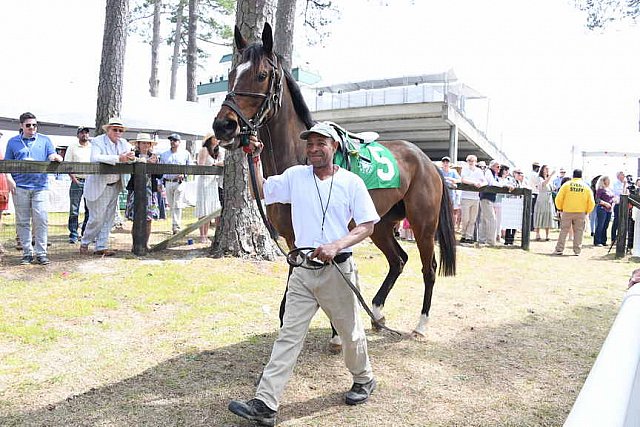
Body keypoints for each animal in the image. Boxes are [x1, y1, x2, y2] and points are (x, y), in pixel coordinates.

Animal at [214, 23, 456, 344]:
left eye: (262, 75)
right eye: (231, 74)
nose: (223, 125)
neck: (300, 159)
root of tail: (429, 162)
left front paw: (337, 333)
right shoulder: (294, 241)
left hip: (422, 224)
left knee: (428, 268)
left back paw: (421, 324)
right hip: (380, 224)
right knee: (398, 260)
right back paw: (376, 313)